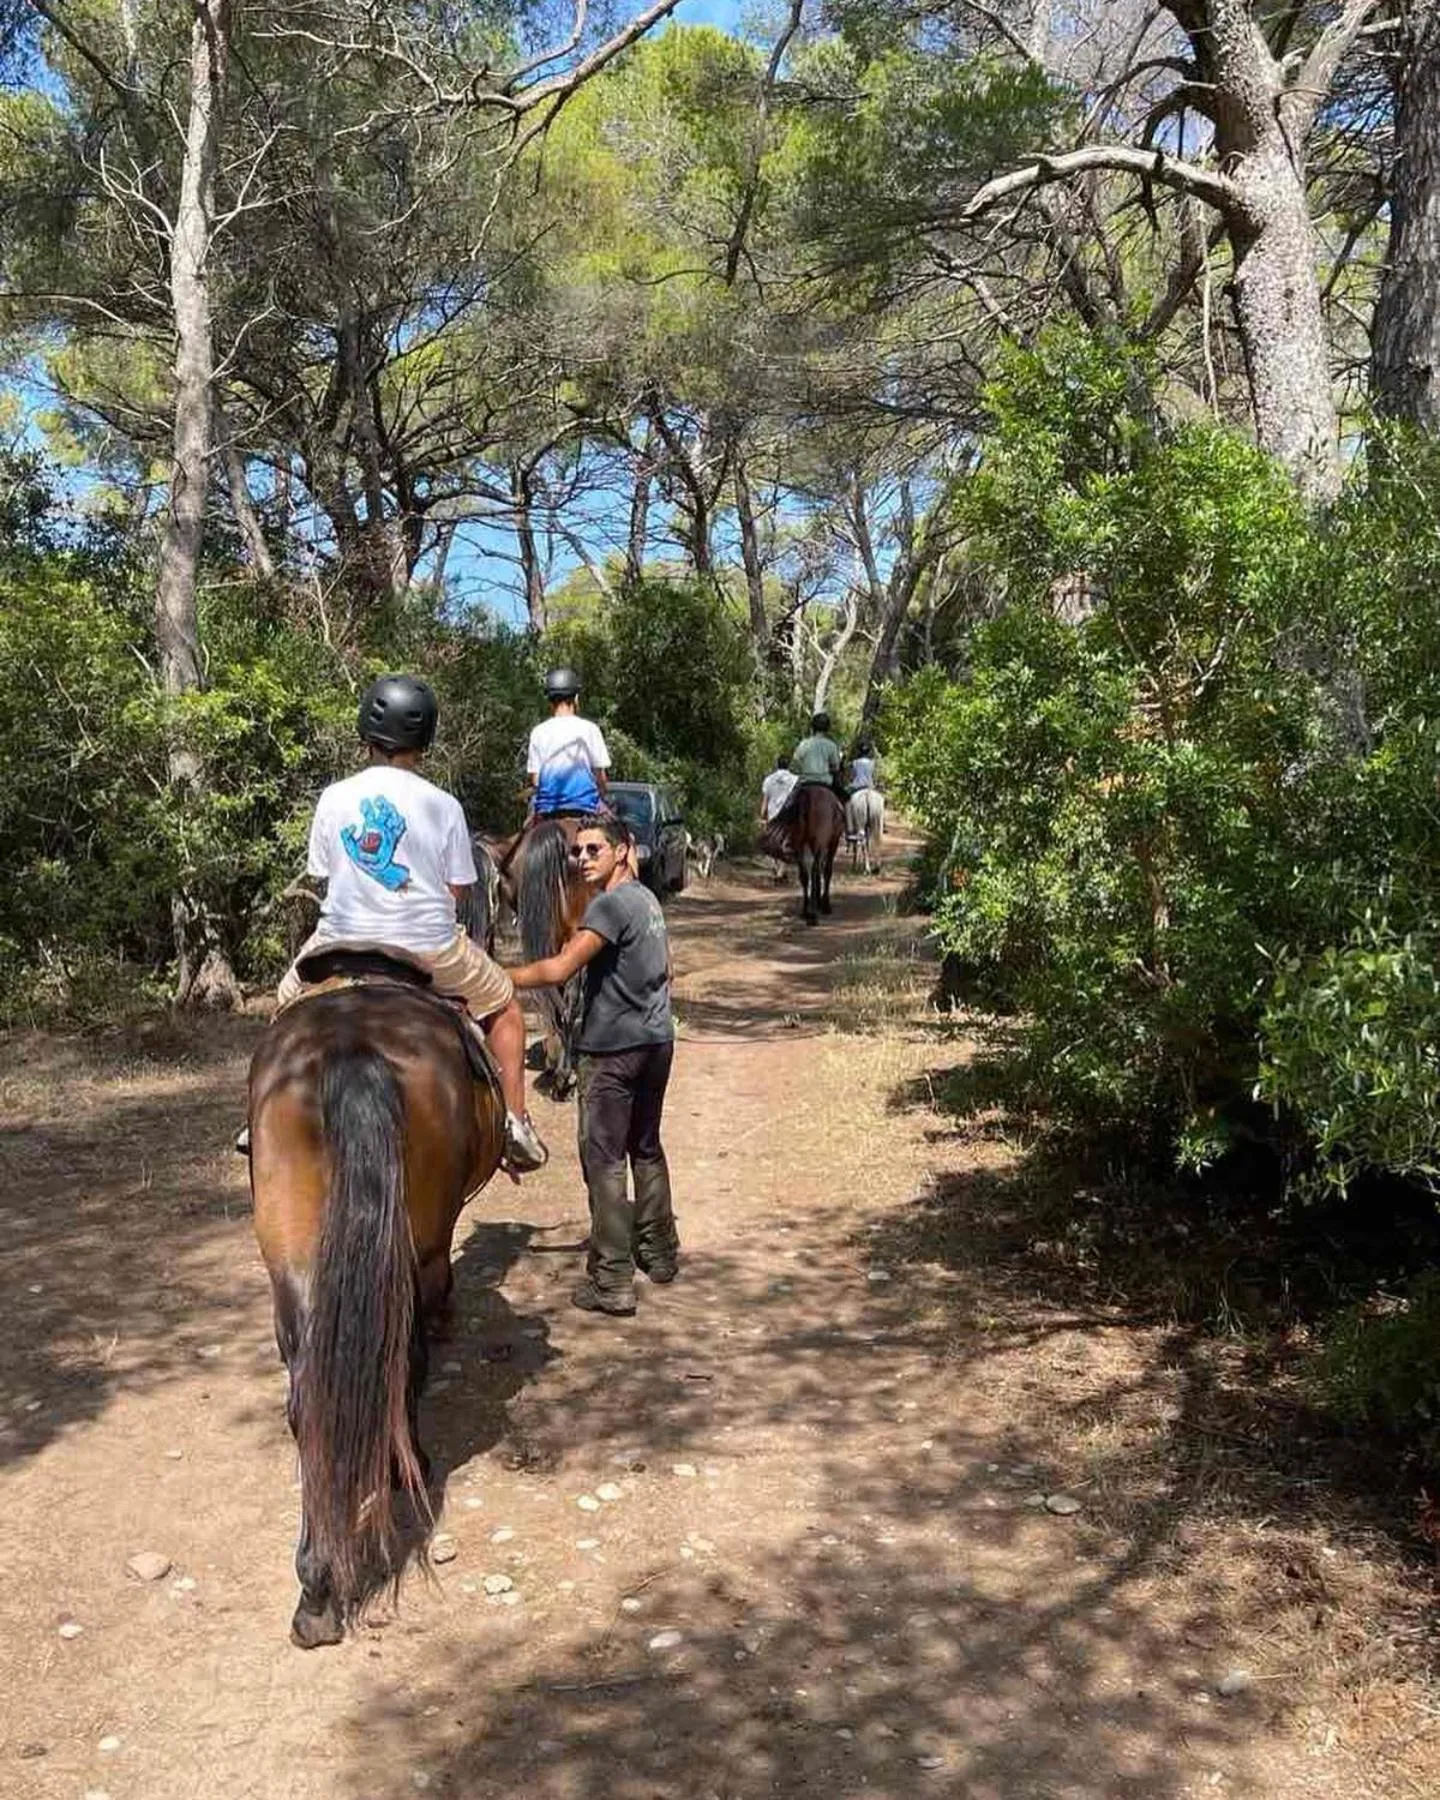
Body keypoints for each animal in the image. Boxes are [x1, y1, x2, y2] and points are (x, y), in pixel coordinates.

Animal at [247, 965, 506, 1647]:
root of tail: (350, 1045)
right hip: (413, 1239)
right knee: (399, 1359)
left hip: (290, 1249)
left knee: (310, 1396)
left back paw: (315, 1589)